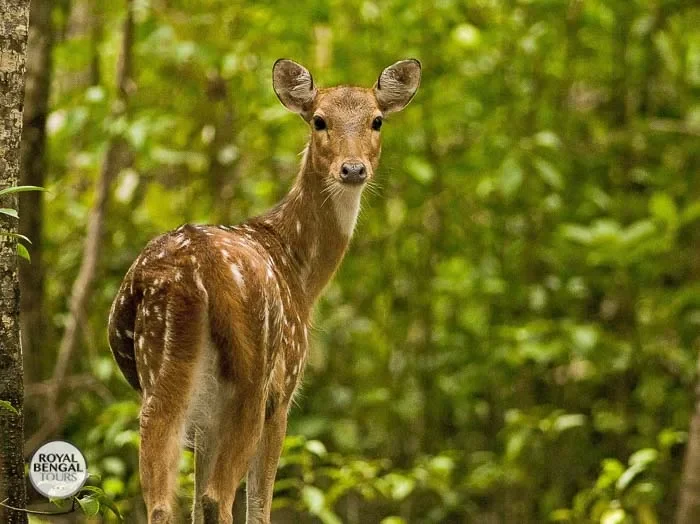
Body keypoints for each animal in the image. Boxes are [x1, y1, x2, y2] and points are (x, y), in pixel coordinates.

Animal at [107, 58, 421, 524]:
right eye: (319, 120)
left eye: (376, 120)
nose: (352, 169)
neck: (299, 271)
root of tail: (193, 270)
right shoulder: (284, 391)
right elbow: (258, 505)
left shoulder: (204, 421)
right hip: (252, 378)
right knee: (218, 497)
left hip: (159, 368)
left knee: (163, 503)